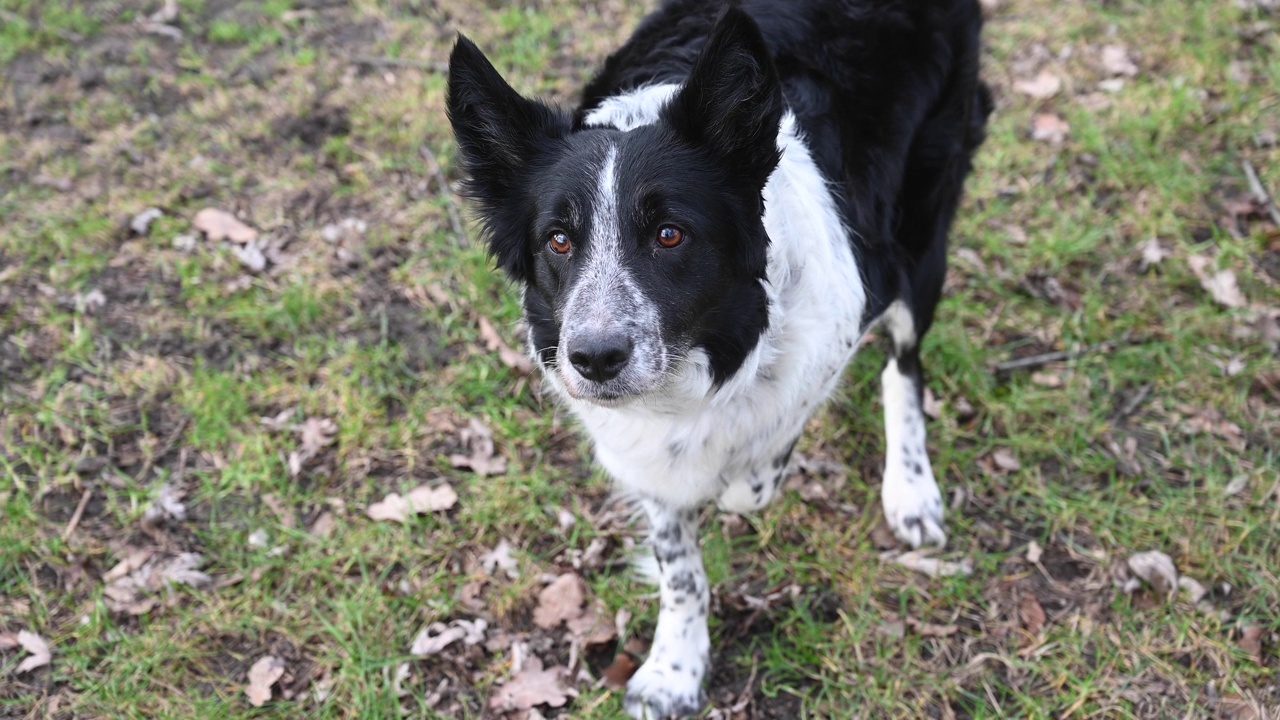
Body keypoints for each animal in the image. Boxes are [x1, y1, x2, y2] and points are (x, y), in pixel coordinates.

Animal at [448, 2, 988, 712]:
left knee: (905, 363)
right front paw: (675, 667)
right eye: (559, 240)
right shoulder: (637, 451)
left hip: (919, 239)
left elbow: (754, 473)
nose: (594, 359)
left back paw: (911, 490)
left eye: (669, 234)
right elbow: (680, 567)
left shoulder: (849, 308)